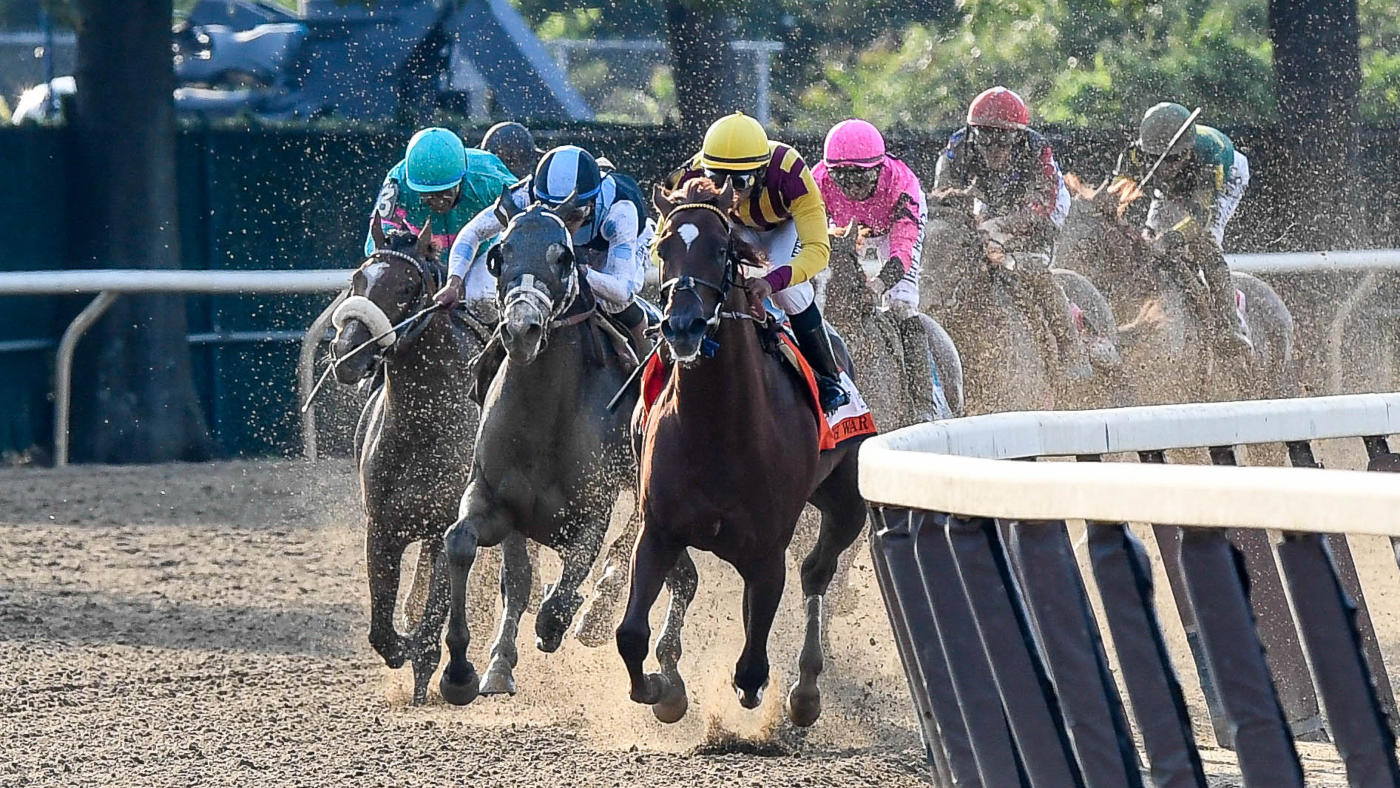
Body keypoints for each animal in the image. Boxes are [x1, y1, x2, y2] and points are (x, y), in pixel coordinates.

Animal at [328, 220, 492, 704]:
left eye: (406, 287)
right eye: (357, 280)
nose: (346, 354)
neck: (425, 425)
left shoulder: (446, 528)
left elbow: (434, 615)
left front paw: (434, 669)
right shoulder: (381, 527)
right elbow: (382, 628)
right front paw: (402, 647)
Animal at [437, 193, 638, 705]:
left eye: (563, 257)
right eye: (498, 254)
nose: (522, 329)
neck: (544, 417)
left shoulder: (591, 514)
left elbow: (566, 586)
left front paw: (562, 620)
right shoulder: (496, 502)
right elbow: (465, 547)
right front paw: (465, 670)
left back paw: (596, 609)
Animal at [614, 179, 870, 728]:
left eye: (721, 250)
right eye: (663, 248)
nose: (682, 326)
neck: (717, 429)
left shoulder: (767, 550)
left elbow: (752, 667)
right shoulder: (657, 530)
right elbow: (631, 635)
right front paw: (663, 688)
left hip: (847, 504)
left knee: (816, 573)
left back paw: (806, 690)